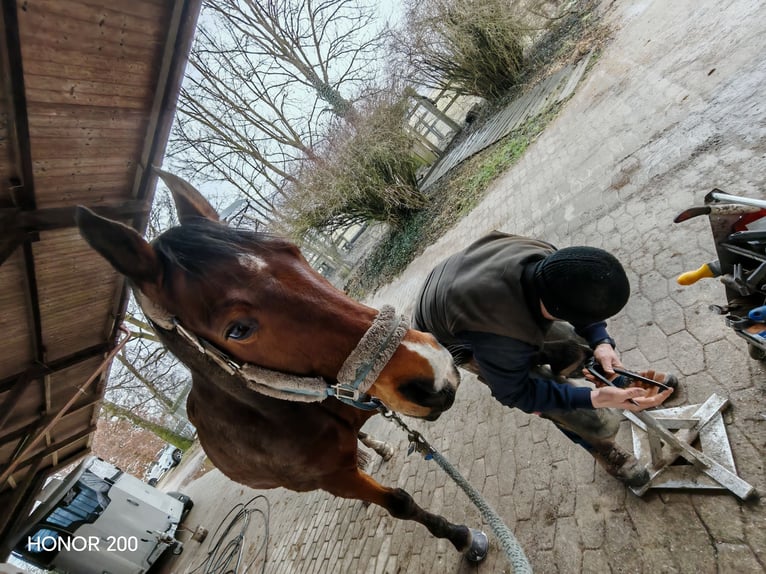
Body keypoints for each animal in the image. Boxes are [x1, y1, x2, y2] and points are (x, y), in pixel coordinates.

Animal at [75, 170, 489, 561]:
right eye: (238, 330)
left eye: (292, 250)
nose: (434, 369)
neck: (285, 414)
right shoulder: (336, 478)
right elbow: (399, 502)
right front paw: (461, 537)